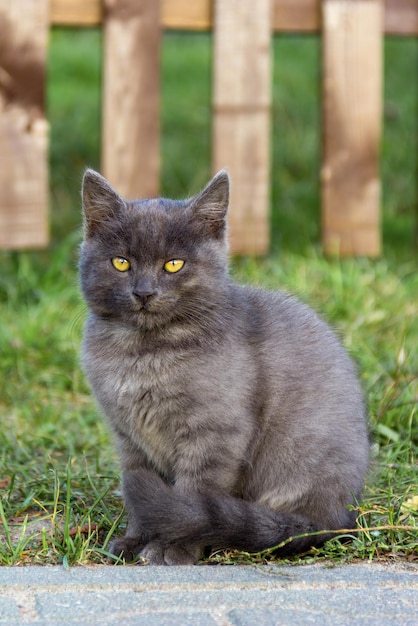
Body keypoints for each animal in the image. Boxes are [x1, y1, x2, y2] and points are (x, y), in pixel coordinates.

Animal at [81, 168, 370, 564]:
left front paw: (173, 547)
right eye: (121, 262)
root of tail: (337, 516)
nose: (143, 292)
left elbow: (192, 493)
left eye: (173, 264)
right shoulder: (130, 437)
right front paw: (135, 539)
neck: (144, 353)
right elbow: (141, 495)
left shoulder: (215, 432)